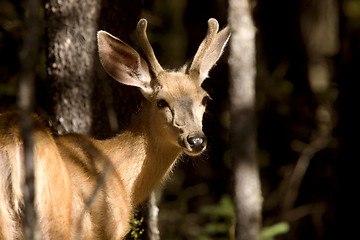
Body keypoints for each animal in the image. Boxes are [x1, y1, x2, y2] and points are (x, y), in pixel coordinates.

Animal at [0, 17, 229, 239]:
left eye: (205, 99)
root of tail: (13, 139)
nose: (196, 140)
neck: (121, 178)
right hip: (55, 215)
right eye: (161, 102)